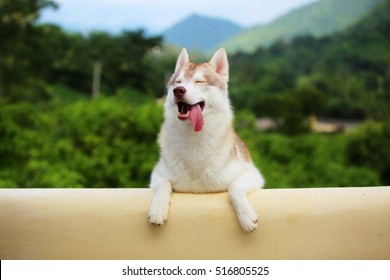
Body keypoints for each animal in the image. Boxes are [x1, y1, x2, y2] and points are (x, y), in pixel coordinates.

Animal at [147, 47, 266, 232]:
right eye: (178, 81)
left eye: (199, 81)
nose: (178, 90)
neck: (195, 140)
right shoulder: (158, 173)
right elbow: (163, 184)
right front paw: (158, 209)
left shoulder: (252, 173)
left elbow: (235, 187)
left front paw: (246, 217)